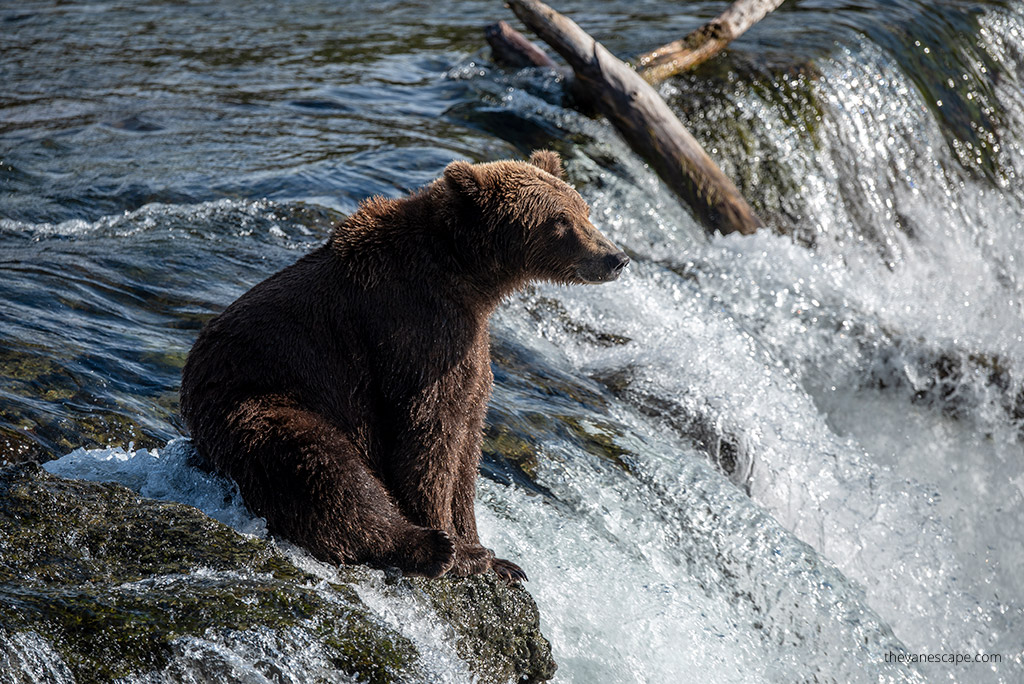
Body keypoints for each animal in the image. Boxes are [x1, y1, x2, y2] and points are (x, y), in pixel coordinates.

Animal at [181, 152, 626, 581]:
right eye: (559, 220)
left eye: (584, 209)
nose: (615, 258)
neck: (466, 275)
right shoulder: (416, 330)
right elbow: (428, 435)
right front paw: (463, 551)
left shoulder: (467, 348)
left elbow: (467, 444)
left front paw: (494, 556)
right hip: (261, 403)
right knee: (329, 472)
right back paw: (426, 547)